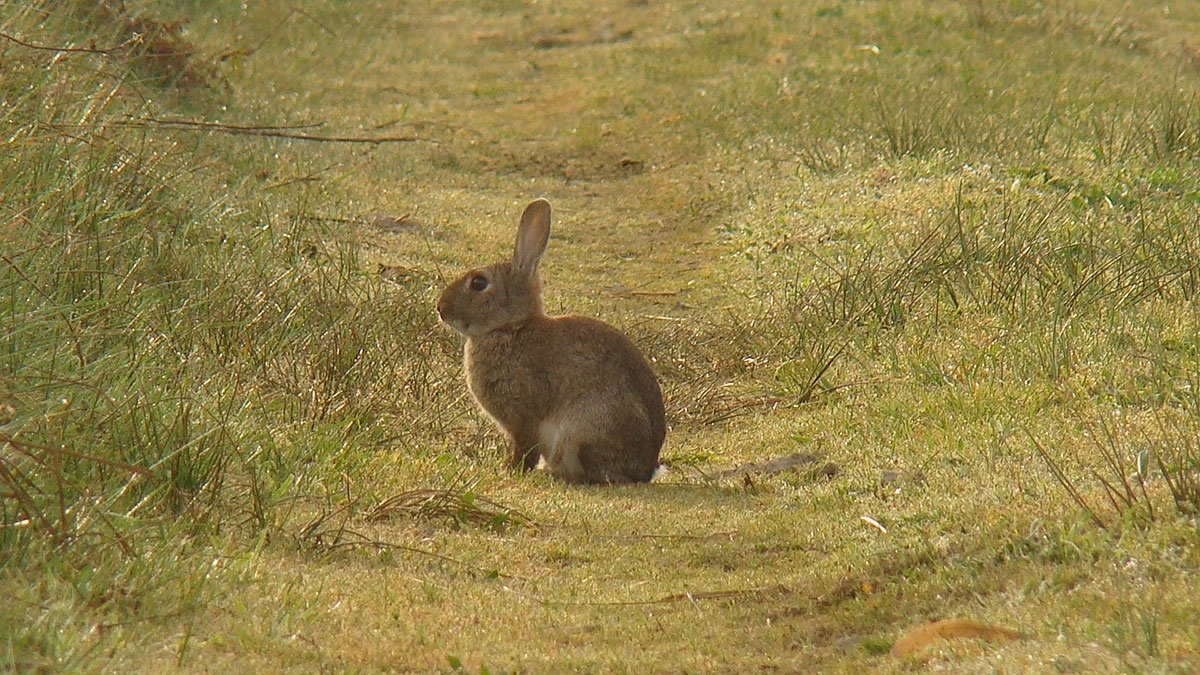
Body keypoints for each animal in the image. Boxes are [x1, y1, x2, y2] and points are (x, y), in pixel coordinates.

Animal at [439, 196, 667, 480]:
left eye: (479, 283)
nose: (440, 308)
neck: (511, 328)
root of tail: (645, 469)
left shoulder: (524, 418)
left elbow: (523, 448)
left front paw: (508, 470)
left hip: (584, 429)